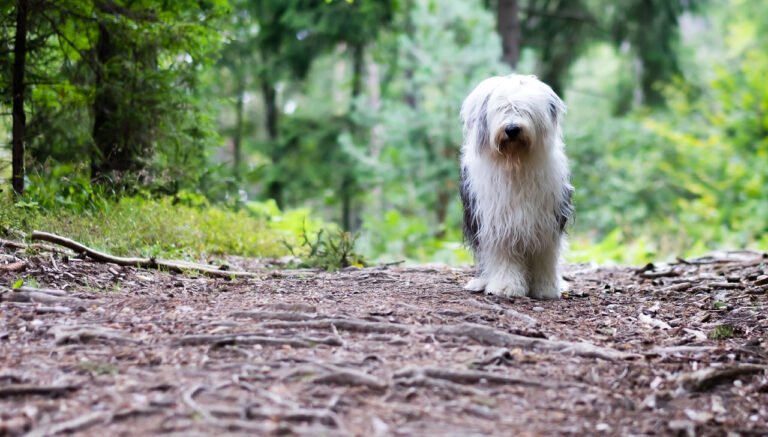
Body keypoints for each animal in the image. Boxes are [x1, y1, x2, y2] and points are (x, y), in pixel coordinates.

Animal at [456, 74, 568, 300]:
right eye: (501, 108)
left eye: (525, 109)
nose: (512, 129)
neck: (516, 162)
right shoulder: (497, 222)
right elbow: (503, 254)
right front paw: (505, 286)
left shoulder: (546, 221)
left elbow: (544, 256)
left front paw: (545, 288)